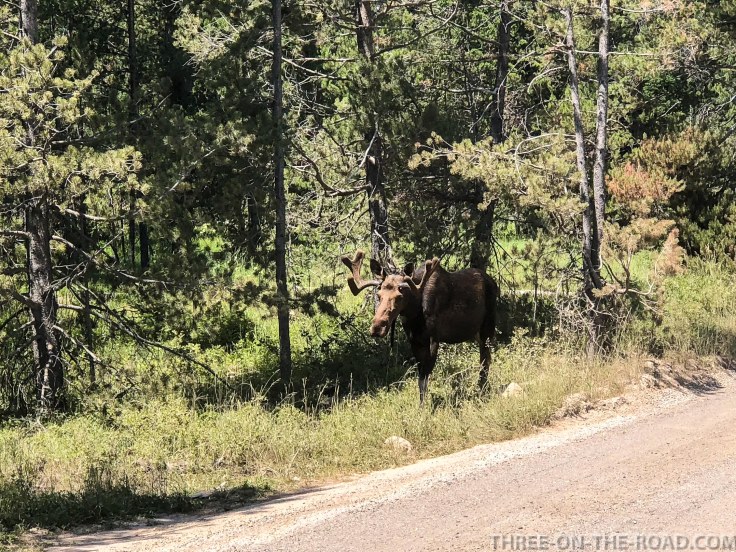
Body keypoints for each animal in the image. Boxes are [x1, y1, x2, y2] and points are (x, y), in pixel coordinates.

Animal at [341, 250, 499, 405]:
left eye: (399, 296)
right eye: (379, 295)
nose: (377, 328)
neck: (415, 312)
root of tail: (494, 283)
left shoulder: (434, 338)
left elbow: (425, 376)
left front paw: (424, 407)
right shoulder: (415, 341)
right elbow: (420, 378)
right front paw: (421, 405)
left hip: (488, 327)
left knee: (485, 360)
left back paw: (481, 390)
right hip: (477, 333)